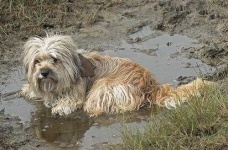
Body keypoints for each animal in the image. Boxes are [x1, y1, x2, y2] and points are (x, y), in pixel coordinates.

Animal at [19, 34, 212, 116]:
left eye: (54, 59)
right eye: (37, 61)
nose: (44, 72)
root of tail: (151, 84)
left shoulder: (77, 92)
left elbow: (70, 100)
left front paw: (60, 107)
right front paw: (29, 90)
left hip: (103, 87)